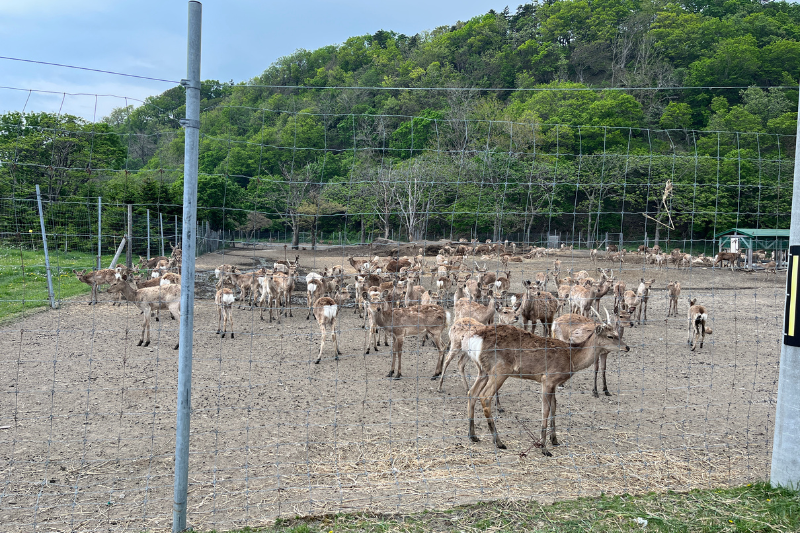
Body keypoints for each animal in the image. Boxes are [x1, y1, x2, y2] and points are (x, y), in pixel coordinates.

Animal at [464, 321, 630, 454]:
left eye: (618, 334)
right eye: (610, 336)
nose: (627, 347)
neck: (572, 359)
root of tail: (475, 339)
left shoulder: (554, 383)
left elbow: (554, 406)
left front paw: (554, 440)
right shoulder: (547, 379)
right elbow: (545, 410)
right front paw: (544, 447)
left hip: (483, 369)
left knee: (472, 393)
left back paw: (473, 435)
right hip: (500, 369)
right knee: (485, 396)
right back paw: (498, 442)